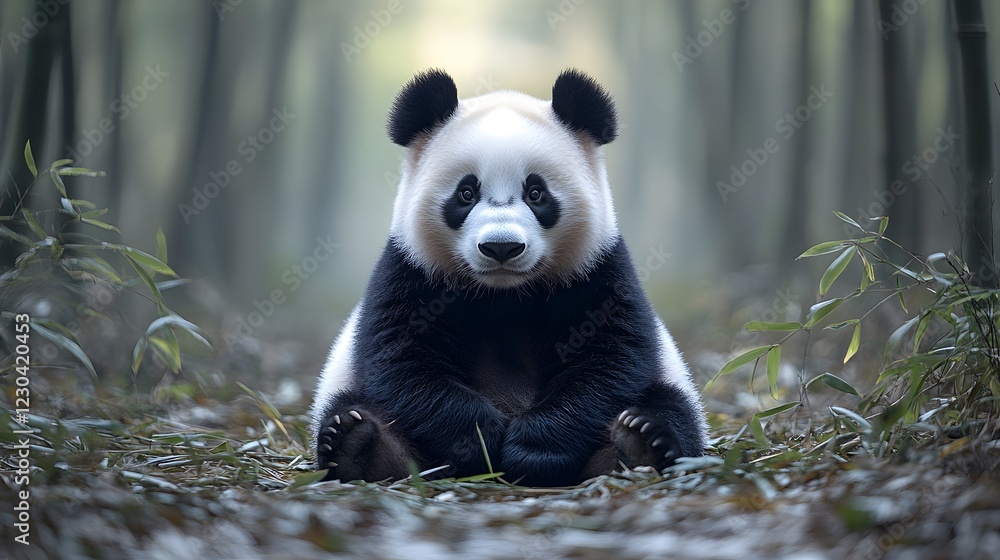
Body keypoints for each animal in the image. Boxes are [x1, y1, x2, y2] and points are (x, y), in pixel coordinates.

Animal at [310, 69, 707, 487]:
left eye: (536, 193)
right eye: (466, 192)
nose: (501, 247)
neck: (503, 294)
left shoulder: (596, 270)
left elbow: (607, 359)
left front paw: (531, 451)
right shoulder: (412, 269)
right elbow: (404, 359)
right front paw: (481, 441)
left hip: (669, 377)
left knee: (671, 406)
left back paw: (639, 442)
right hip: (346, 381)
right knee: (354, 407)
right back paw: (357, 445)